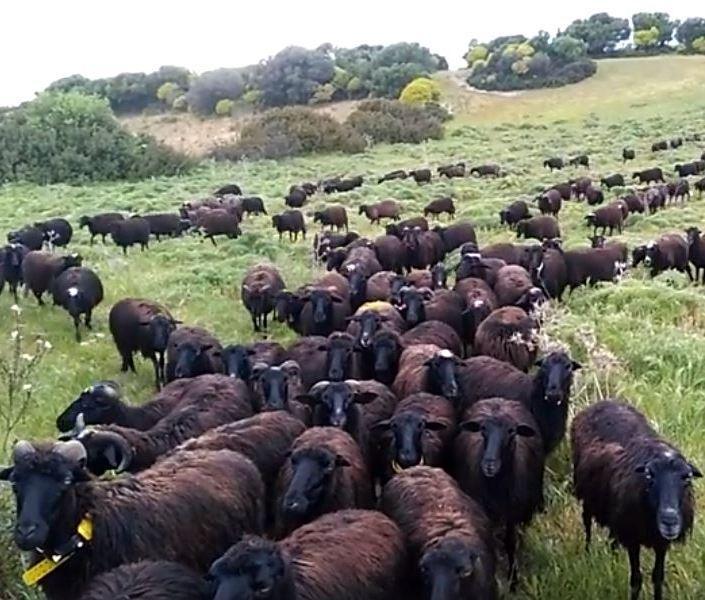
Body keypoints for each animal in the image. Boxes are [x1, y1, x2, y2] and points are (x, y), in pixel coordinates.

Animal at [454, 398, 544, 587]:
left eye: (511, 432)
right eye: (483, 430)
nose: (489, 464)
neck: (498, 488)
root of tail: (498, 399)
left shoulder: (513, 512)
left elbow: (511, 543)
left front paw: (514, 580)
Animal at [571, 400, 700, 600]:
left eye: (687, 478)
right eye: (649, 476)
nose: (669, 520)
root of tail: (603, 402)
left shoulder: (661, 543)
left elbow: (658, 578)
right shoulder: (632, 539)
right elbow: (636, 580)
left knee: (612, 538)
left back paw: (614, 560)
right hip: (586, 494)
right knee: (587, 523)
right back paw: (588, 552)